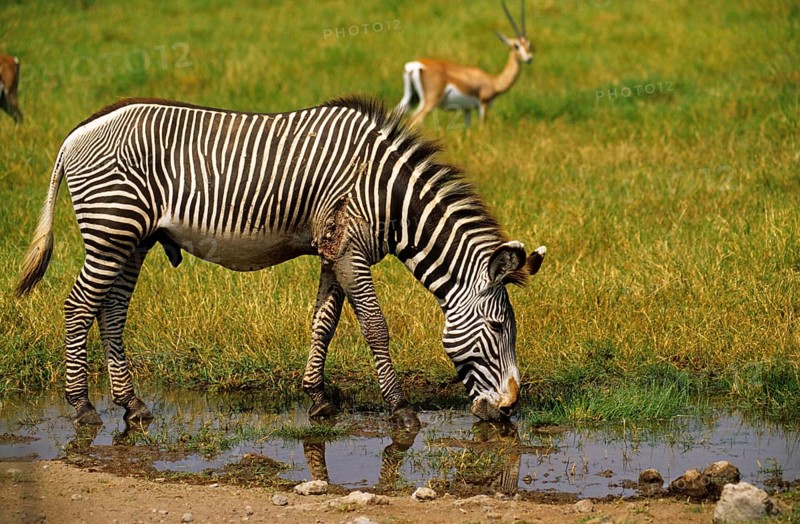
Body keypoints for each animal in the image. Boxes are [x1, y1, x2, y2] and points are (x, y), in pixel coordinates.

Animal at [16, 96, 546, 428]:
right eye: (499, 328)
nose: (509, 409)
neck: (387, 195)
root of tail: (76, 133)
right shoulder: (352, 252)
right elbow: (375, 328)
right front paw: (399, 409)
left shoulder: (334, 252)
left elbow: (323, 324)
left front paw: (318, 399)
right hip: (112, 231)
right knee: (79, 307)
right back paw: (82, 406)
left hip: (133, 239)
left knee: (111, 311)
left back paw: (131, 405)